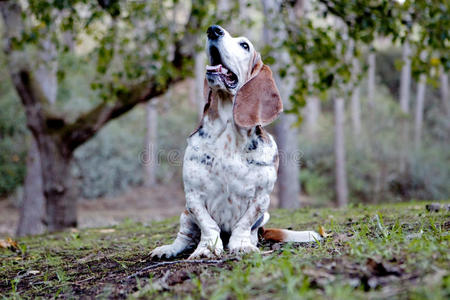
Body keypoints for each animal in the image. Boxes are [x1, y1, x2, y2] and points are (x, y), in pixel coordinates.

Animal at [151, 25, 320, 260]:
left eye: (245, 45)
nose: (213, 30)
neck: (228, 133)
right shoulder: (193, 196)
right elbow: (208, 225)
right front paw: (207, 248)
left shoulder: (261, 198)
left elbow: (243, 224)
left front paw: (240, 244)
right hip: (185, 214)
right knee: (184, 236)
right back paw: (168, 249)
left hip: (263, 217)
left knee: (252, 231)